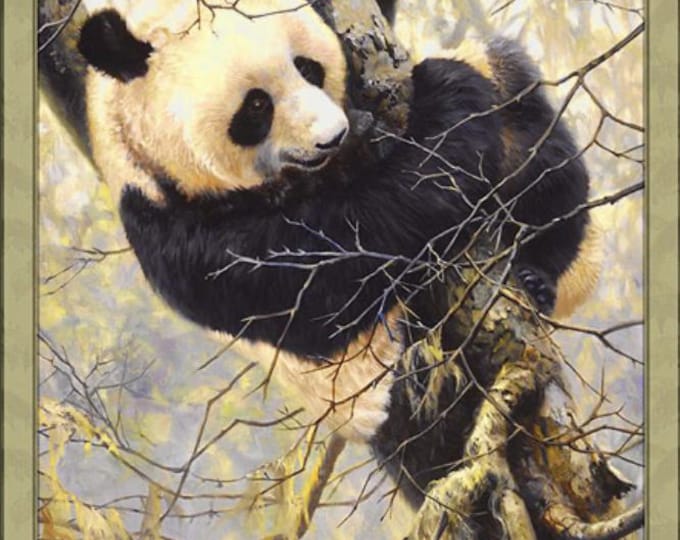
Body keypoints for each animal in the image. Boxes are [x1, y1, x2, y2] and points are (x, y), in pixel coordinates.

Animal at [76, 0, 598, 511]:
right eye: (256, 105)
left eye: (309, 67)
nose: (333, 136)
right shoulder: (175, 229)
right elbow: (335, 267)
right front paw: (450, 91)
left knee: (524, 117)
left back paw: (537, 271)